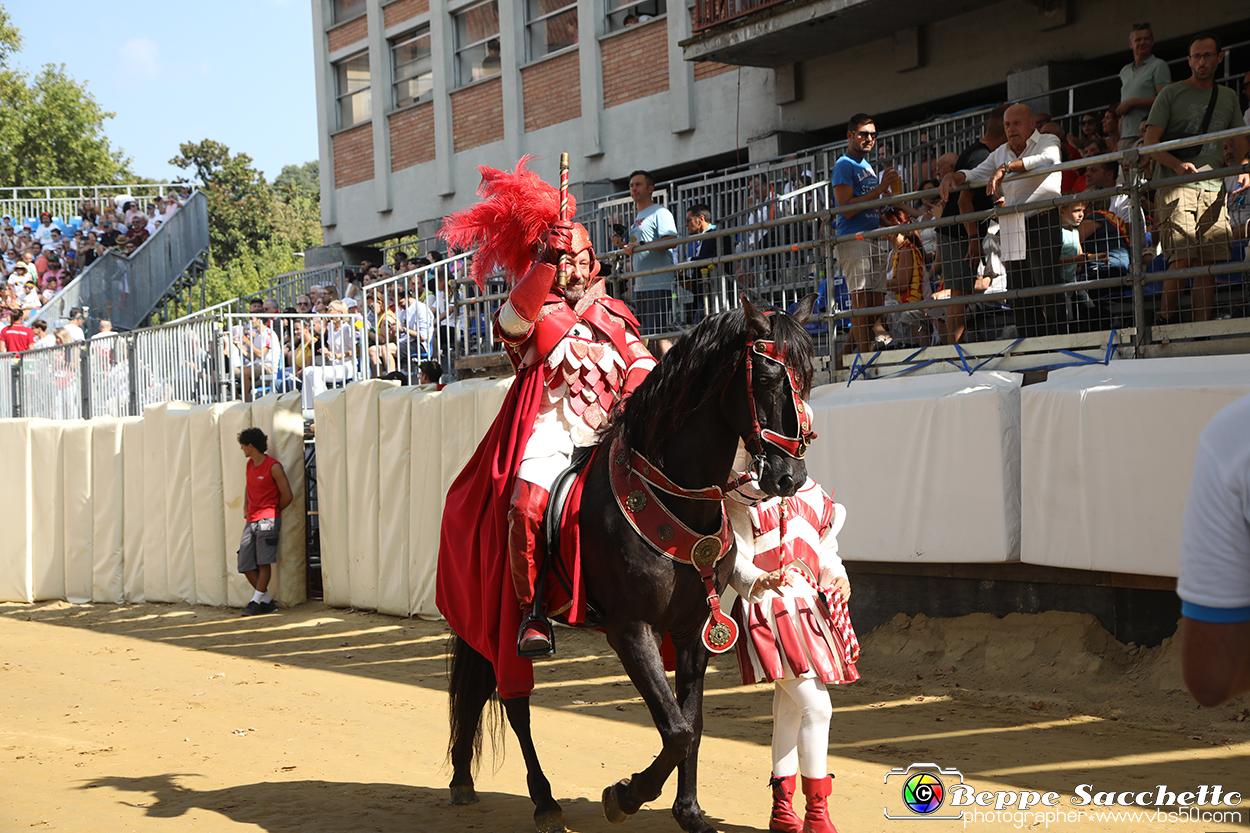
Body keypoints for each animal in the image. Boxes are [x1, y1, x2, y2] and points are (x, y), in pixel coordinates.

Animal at [445, 293, 815, 830]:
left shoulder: (693, 631)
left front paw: (689, 812)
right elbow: (675, 729)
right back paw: (542, 799)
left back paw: (465, 778)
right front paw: (625, 795)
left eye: (808, 375)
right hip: (501, 618)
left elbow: (691, 723)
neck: (675, 494)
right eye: (766, 379)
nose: (790, 477)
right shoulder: (631, 630)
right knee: (514, 703)